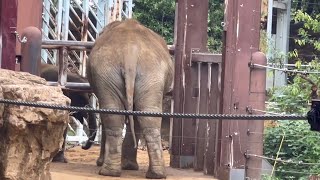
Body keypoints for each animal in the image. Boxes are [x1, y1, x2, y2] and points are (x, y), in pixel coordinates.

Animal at [86, 19, 174, 179]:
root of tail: (130, 52)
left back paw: (109, 171)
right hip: (148, 73)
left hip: (109, 72)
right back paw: (153, 174)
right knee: (146, 115)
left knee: (114, 114)